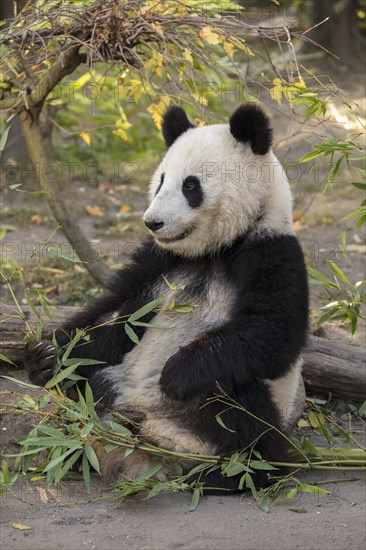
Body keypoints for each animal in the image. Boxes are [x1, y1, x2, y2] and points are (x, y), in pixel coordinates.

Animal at [24, 105, 308, 494]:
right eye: (160, 181)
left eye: (191, 185)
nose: (153, 222)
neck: (213, 250)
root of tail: (157, 435)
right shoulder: (158, 262)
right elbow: (118, 316)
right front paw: (47, 355)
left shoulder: (271, 250)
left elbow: (274, 331)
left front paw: (176, 373)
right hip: (115, 383)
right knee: (89, 383)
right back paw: (76, 443)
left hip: (254, 401)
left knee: (242, 412)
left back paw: (233, 473)